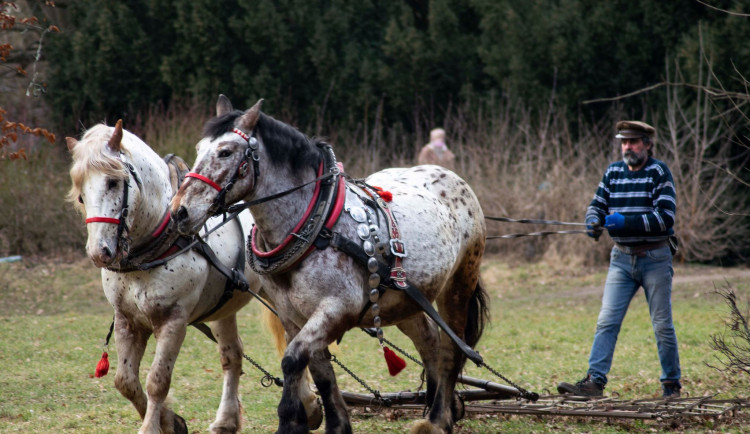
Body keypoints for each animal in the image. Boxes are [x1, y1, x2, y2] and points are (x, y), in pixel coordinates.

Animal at [66, 121, 322, 434]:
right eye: (80, 192)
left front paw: (153, 426)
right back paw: (227, 420)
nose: (99, 252)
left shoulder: (173, 320)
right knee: (232, 355)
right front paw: (171, 421)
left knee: (291, 338)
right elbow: (125, 381)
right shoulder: (127, 320)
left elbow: (157, 381)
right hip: (225, 305)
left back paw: (308, 406)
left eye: (113, 182)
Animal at [170, 98, 488, 434]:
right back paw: (442, 408)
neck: (316, 225)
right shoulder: (293, 315)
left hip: (460, 283)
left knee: (450, 350)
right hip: (406, 298)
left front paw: (289, 420)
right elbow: (320, 370)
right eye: (198, 148)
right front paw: (337, 425)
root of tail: (450, 175)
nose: (180, 212)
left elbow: (293, 359)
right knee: (428, 341)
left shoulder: (336, 308)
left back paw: (438, 418)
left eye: (226, 152)